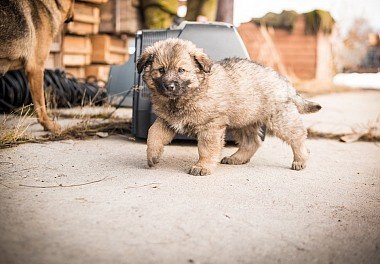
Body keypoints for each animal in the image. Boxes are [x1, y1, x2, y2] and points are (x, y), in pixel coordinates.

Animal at [137, 38, 320, 175]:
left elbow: (206, 148)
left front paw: (202, 166)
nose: (169, 86)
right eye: (161, 70)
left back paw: (301, 159)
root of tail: (282, 80)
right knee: (252, 142)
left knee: (298, 137)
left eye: (181, 70)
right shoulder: (167, 120)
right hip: (243, 119)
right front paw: (152, 155)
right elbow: (153, 133)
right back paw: (237, 158)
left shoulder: (210, 126)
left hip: (279, 119)